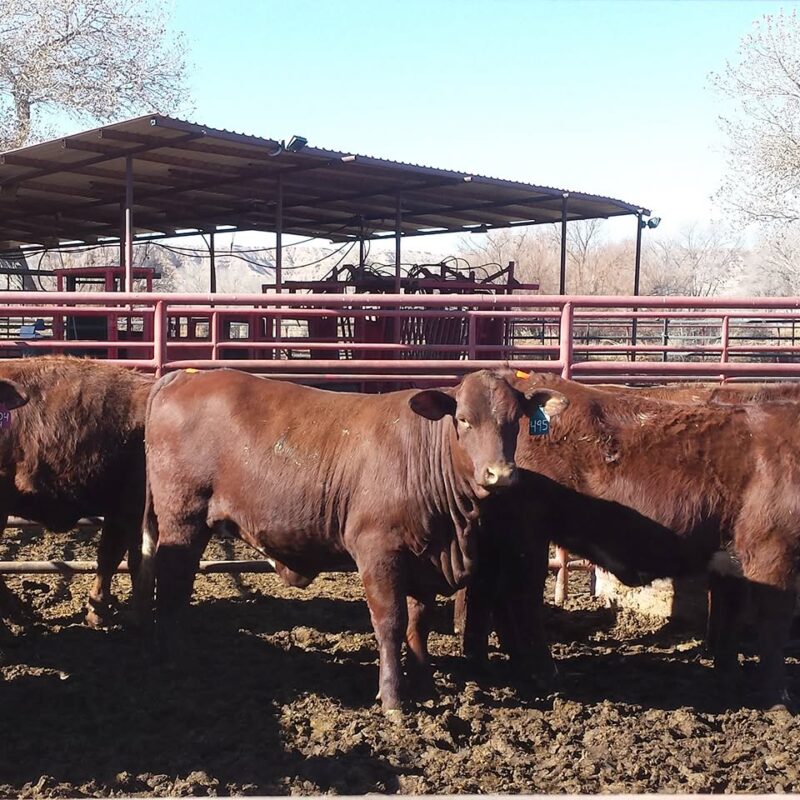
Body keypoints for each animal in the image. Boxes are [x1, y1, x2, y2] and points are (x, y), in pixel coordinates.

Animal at [133, 367, 567, 713]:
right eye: (463, 419)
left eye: (516, 420)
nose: (500, 474)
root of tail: (183, 376)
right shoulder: (377, 552)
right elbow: (390, 622)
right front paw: (393, 699)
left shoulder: (423, 557)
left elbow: (418, 622)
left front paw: (425, 686)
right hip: (182, 519)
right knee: (172, 584)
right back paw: (173, 657)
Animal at [454, 373, 800, 709]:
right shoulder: (772, 550)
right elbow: (773, 625)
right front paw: (778, 699)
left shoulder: (731, 559)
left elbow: (729, 618)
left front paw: (727, 676)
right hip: (527, 533)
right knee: (518, 596)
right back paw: (542, 671)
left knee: (488, 592)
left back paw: (490, 664)